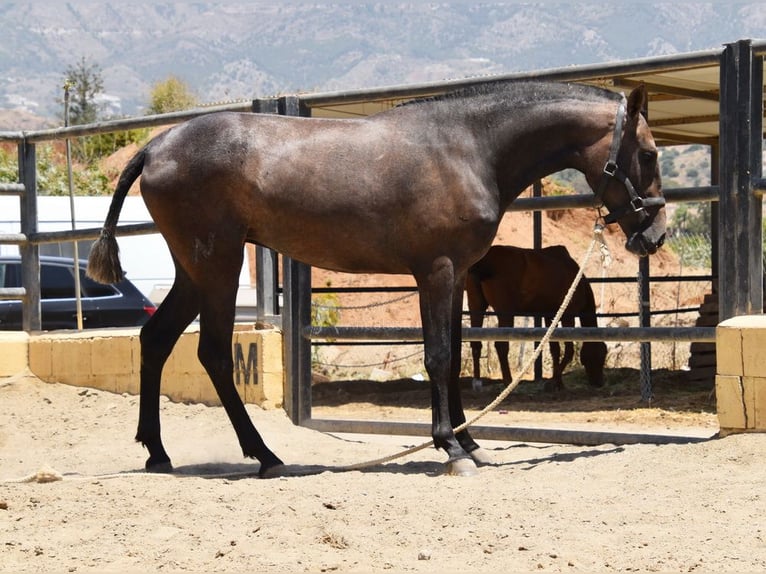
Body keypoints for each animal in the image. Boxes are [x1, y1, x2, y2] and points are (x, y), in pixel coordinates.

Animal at [468, 245, 612, 394]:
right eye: (601, 355)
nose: (599, 383)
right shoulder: (568, 315)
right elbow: (569, 350)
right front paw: (553, 381)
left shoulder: (550, 316)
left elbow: (555, 350)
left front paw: (559, 383)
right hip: (505, 313)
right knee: (501, 346)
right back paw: (508, 382)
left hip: (476, 307)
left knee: (476, 344)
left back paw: (477, 383)